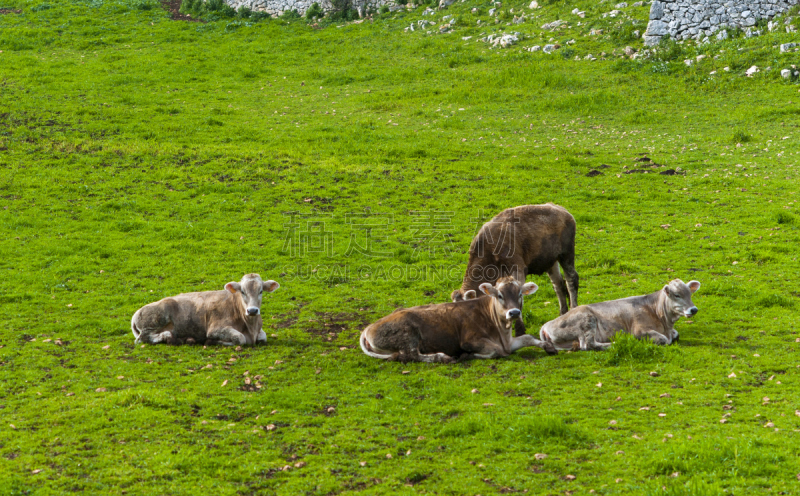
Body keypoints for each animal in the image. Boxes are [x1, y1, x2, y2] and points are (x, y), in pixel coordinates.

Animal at [131, 274, 282, 346]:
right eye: (243, 291)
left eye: (261, 291)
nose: (252, 311)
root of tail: (136, 313)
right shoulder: (215, 329)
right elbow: (240, 338)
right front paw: (212, 342)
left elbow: (263, 337)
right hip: (157, 318)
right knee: (142, 338)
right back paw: (170, 337)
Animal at [360, 278, 556, 362]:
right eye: (499, 295)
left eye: (520, 294)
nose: (514, 313)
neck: (501, 330)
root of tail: (368, 328)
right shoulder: (470, 340)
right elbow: (497, 350)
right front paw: (466, 355)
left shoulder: (509, 341)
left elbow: (527, 338)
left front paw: (548, 346)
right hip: (408, 335)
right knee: (411, 355)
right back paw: (441, 357)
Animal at [450, 202, 580, 338]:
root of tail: (560, 208)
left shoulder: (518, 270)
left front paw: (519, 331)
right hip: (551, 261)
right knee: (558, 284)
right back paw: (562, 313)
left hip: (567, 253)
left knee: (571, 279)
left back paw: (573, 309)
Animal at [536, 278, 700, 350]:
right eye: (677, 295)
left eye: (690, 294)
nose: (693, 309)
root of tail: (546, 325)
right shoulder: (640, 329)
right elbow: (664, 340)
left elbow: (676, 335)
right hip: (587, 320)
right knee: (588, 344)